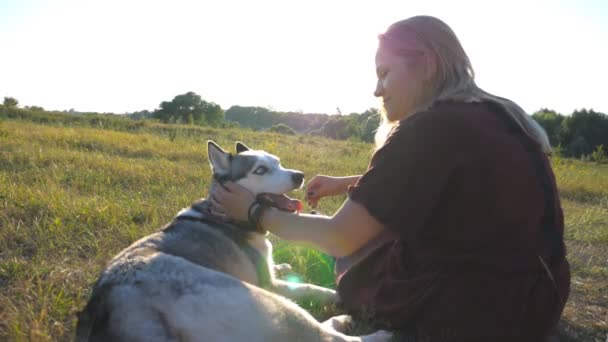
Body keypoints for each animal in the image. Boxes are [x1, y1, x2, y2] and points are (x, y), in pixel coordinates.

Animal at [77, 140, 390, 340]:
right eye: (261, 170)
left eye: (278, 163)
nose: (299, 176)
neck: (226, 214)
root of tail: (113, 306)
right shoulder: (269, 284)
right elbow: (309, 287)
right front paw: (332, 293)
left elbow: (278, 265)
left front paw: (284, 266)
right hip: (269, 301)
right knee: (330, 337)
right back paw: (366, 326)